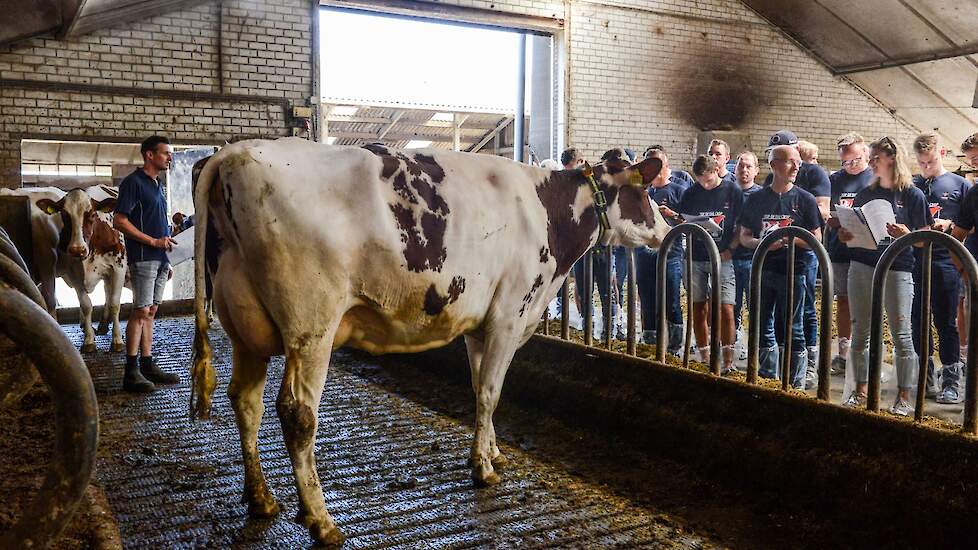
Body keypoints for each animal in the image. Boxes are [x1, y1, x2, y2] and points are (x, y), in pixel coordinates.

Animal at [0, 188, 126, 354]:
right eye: (65, 215)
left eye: (92, 214)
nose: (77, 249)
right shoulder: (73, 273)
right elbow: (86, 305)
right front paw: (88, 341)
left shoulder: (118, 268)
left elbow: (115, 304)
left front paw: (117, 340)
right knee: (105, 291)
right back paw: (96, 326)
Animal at [188, 138, 668, 548]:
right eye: (644, 194)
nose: (669, 228)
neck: (547, 212)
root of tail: (232, 153)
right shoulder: (509, 315)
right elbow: (492, 391)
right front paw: (483, 468)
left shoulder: (480, 324)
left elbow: (479, 388)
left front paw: (492, 451)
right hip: (311, 328)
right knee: (297, 415)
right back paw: (321, 520)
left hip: (245, 327)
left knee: (246, 401)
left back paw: (261, 498)